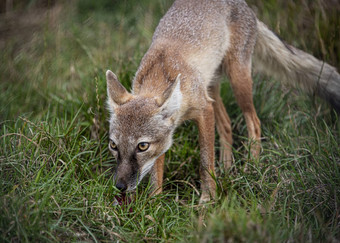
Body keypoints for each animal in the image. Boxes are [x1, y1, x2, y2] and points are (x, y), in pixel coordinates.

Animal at [106, 0, 340, 203]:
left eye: (142, 146)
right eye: (113, 145)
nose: (120, 186)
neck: (160, 71)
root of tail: (245, 6)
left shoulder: (204, 110)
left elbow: (204, 162)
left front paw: (207, 199)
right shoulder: (170, 134)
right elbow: (157, 172)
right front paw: (154, 203)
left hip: (238, 80)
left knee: (254, 122)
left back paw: (250, 166)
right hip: (213, 88)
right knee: (227, 125)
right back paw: (227, 170)